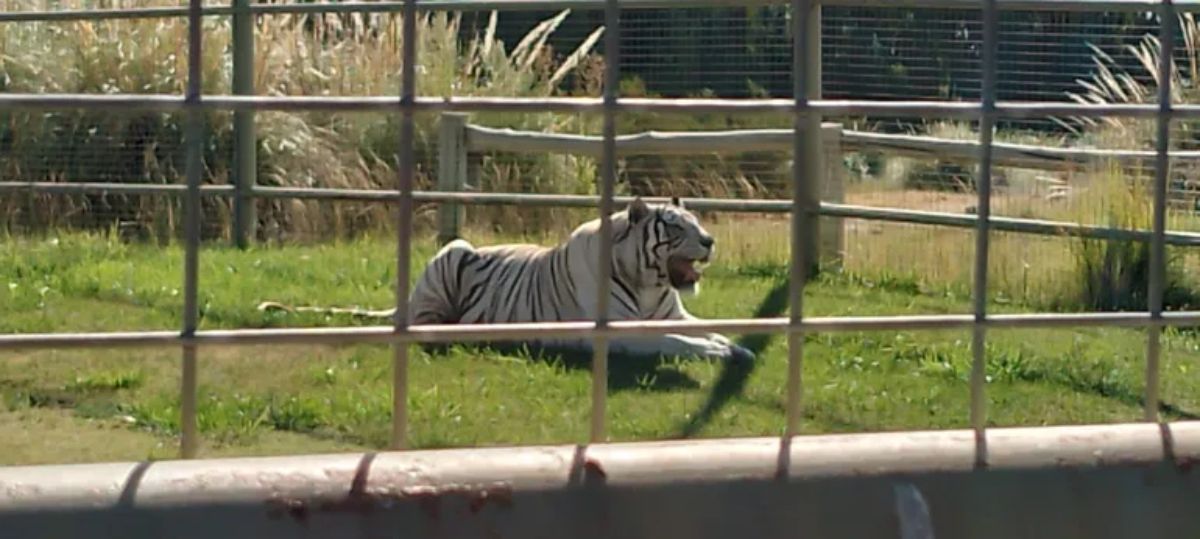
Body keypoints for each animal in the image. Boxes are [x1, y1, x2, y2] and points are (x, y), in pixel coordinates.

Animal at [257, 197, 754, 363]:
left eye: (698, 222)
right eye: (675, 227)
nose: (710, 240)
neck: (650, 282)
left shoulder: (676, 314)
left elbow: (703, 329)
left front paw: (737, 346)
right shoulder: (620, 333)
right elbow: (679, 343)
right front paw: (720, 352)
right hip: (453, 251)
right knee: (428, 325)